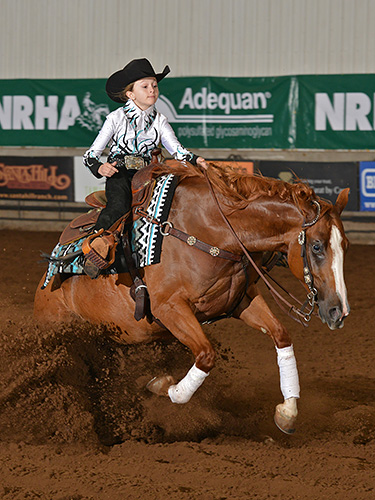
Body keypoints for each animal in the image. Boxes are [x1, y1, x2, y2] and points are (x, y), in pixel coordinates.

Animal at [33, 163, 352, 434]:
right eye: (316, 246)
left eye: (345, 245)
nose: (339, 311)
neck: (214, 231)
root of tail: (48, 279)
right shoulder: (170, 309)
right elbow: (206, 357)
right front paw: (162, 386)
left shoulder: (243, 300)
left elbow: (281, 336)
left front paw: (287, 411)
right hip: (57, 332)